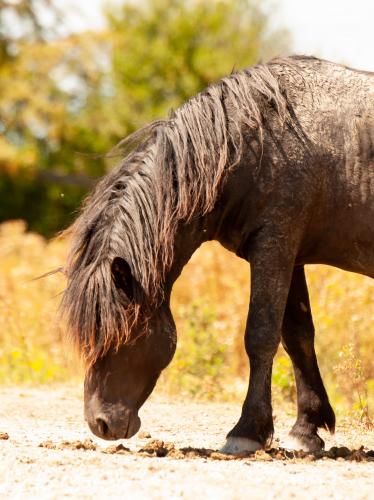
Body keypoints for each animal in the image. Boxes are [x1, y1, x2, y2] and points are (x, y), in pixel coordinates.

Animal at [60, 56, 372, 456]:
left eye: (119, 332)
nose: (100, 424)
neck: (256, 141)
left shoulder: (274, 245)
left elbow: (260, 336)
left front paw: (247, 430)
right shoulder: (291, 255)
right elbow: (298, 336)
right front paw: (306, 429)